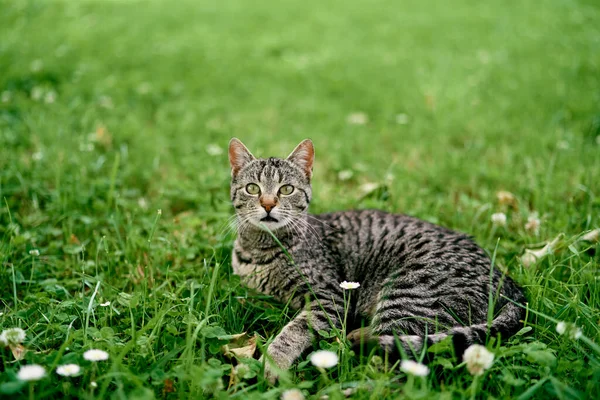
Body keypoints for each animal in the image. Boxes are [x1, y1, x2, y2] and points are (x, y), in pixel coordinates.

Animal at [230, 138, 524, 382]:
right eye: (252, 188)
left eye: (287, 189)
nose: (268, 204)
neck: (259, 249)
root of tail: (508, 281)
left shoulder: (330, 297)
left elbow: (294, 331)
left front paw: (273, 363)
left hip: (406, 295)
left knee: (394, 364)